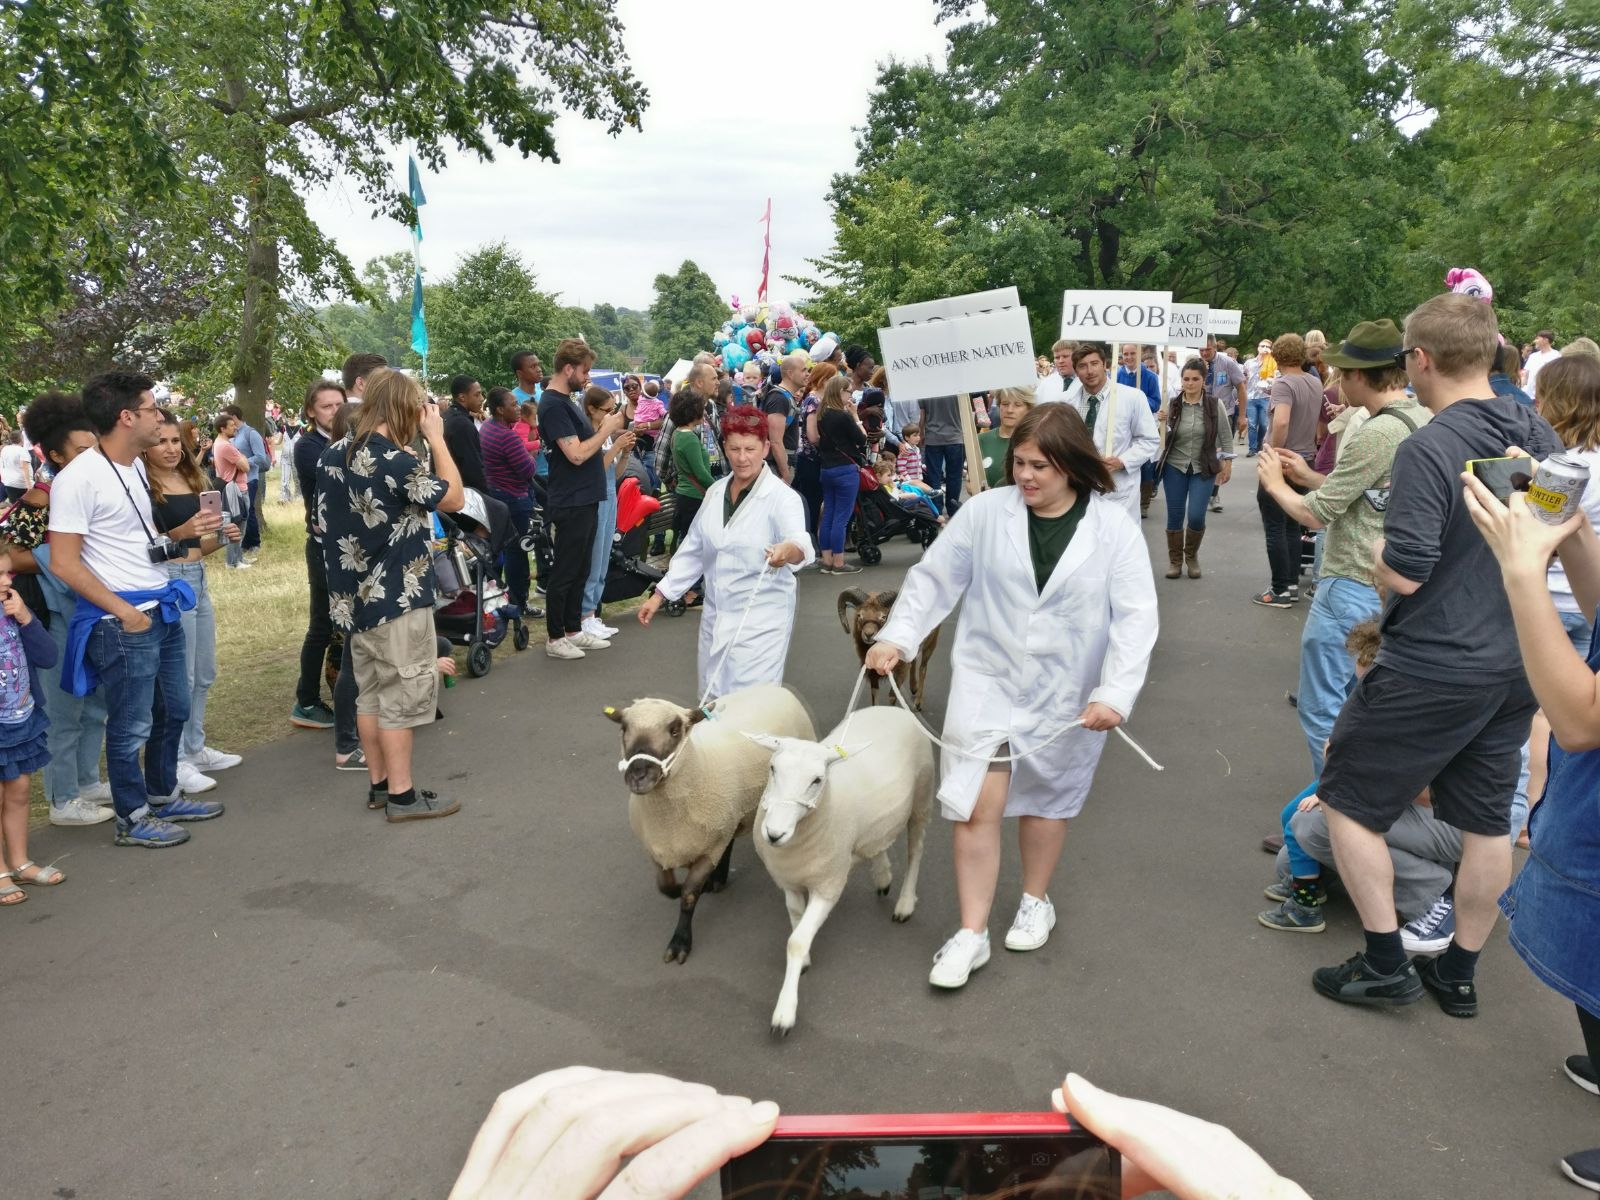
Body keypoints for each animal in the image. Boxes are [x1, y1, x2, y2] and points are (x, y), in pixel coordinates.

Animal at [608, 684, 819, 966]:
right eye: (624, 729)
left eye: (675, 730)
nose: (638, 775)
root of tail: (773, 686)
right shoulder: (656, 849)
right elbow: (665, 888)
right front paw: (679, 889)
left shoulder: (710, 849)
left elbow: (688, 895)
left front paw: (680, 942)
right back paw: (717, 880)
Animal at [748, 710, 934, 1036]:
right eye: (772, 768)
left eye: (817, 779)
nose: (773, 834)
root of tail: (893, 709)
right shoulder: (790, 881)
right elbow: (796, 923)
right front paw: (804, 961)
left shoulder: (828, 885)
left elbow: (796, 941)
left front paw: (784, 1012)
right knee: (876, 843)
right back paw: (882, 876)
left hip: (921, 799)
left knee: (916, 851)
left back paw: (905, 903)